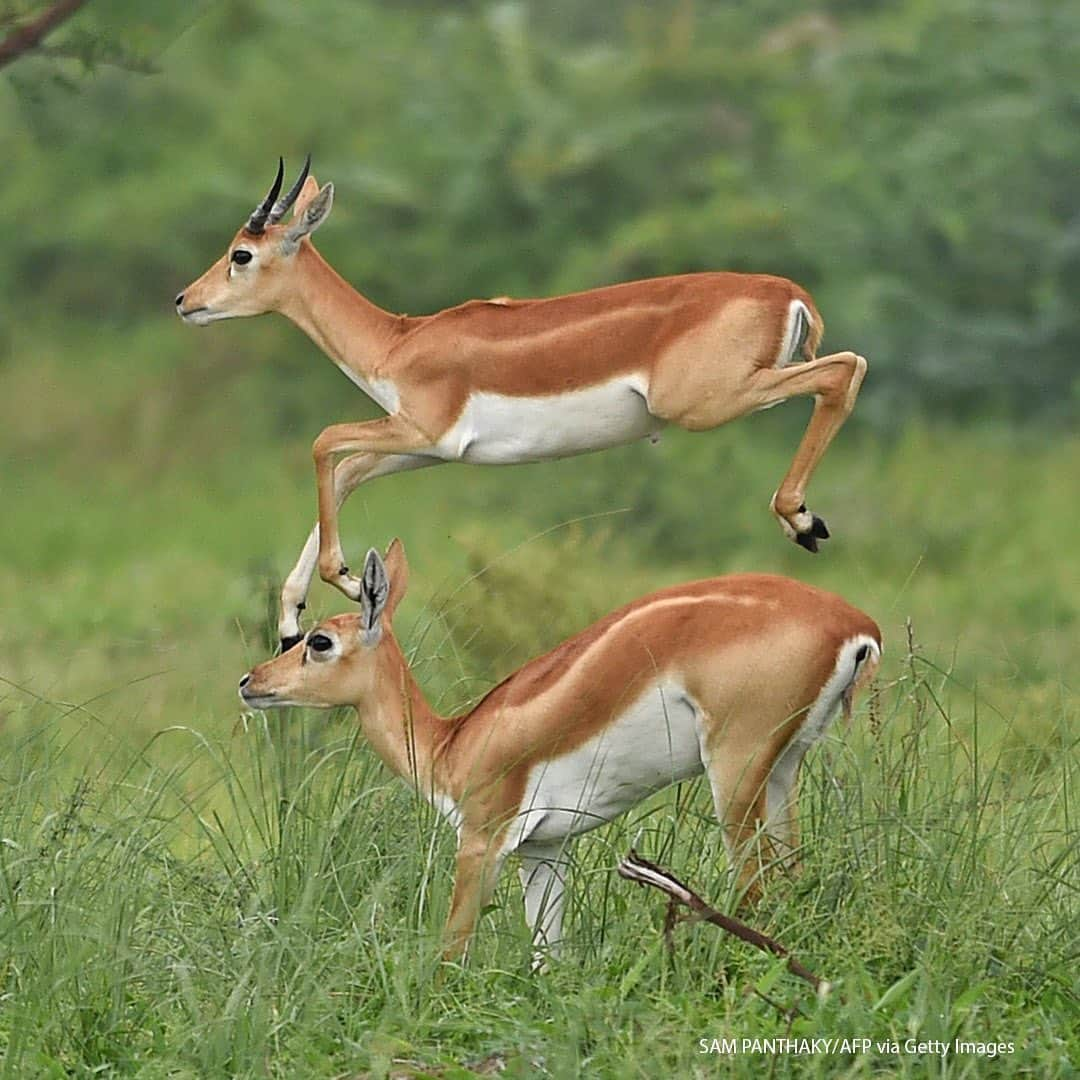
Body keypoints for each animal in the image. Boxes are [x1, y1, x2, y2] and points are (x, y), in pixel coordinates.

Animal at [177, 158, 868, 648]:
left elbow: (324, 443)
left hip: (712, 402)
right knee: (846, 370)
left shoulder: (424, 431)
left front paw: (337, 583)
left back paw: (803, 521)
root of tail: (789, 293)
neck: (398, 341)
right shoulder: (422, 448)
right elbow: (346, 473)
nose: (185, 300)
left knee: (844, 371)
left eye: (241, 254)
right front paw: (296, 615)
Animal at [236, 544, 876, 967]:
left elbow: (452, 949)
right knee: (789, 876)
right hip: (784, 767)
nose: (250, 682)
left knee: (754, 887)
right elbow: (549, 955)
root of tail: (855, 625)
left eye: (319, 641)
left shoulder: (482, 841)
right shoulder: (545, 850)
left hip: (734, 771)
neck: (452, 744)